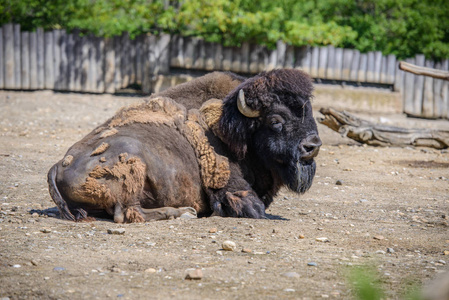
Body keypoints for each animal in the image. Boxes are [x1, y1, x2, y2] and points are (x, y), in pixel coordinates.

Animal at [47, 69, 320, 221]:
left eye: (309, 112)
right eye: (275, 120)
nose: (313, 145)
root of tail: (58, 165)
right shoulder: (233, 188)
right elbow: (254, 207)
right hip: (131, 169)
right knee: (127, 213)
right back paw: (185, 212)